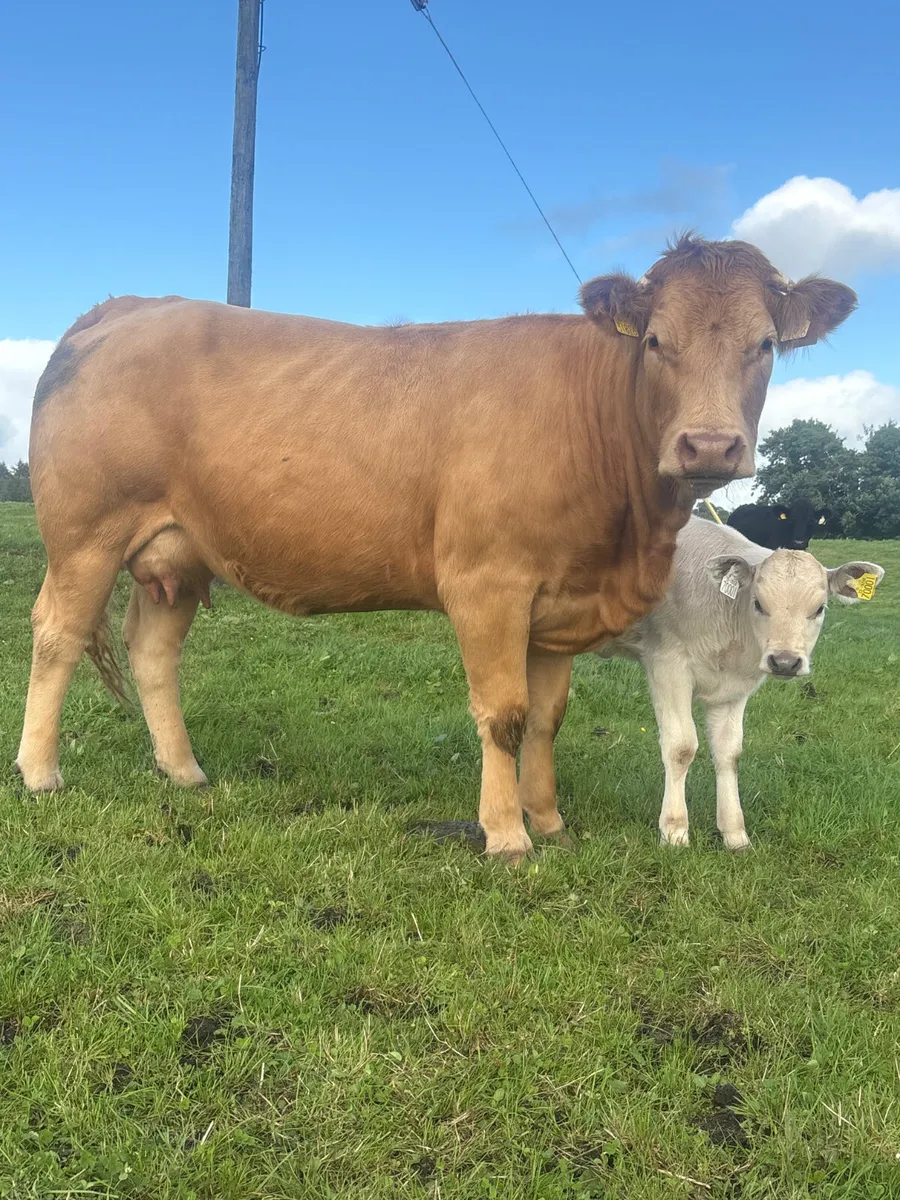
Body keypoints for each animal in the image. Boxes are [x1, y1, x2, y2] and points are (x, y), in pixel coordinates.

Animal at [596, 518, 883, 849]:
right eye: (758, 603)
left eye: (819, 609)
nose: (784, 662)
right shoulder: (668, 665)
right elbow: (681, 747)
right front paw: (675, 830)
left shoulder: (732, 688)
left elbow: (729, 752)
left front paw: (734, 834)